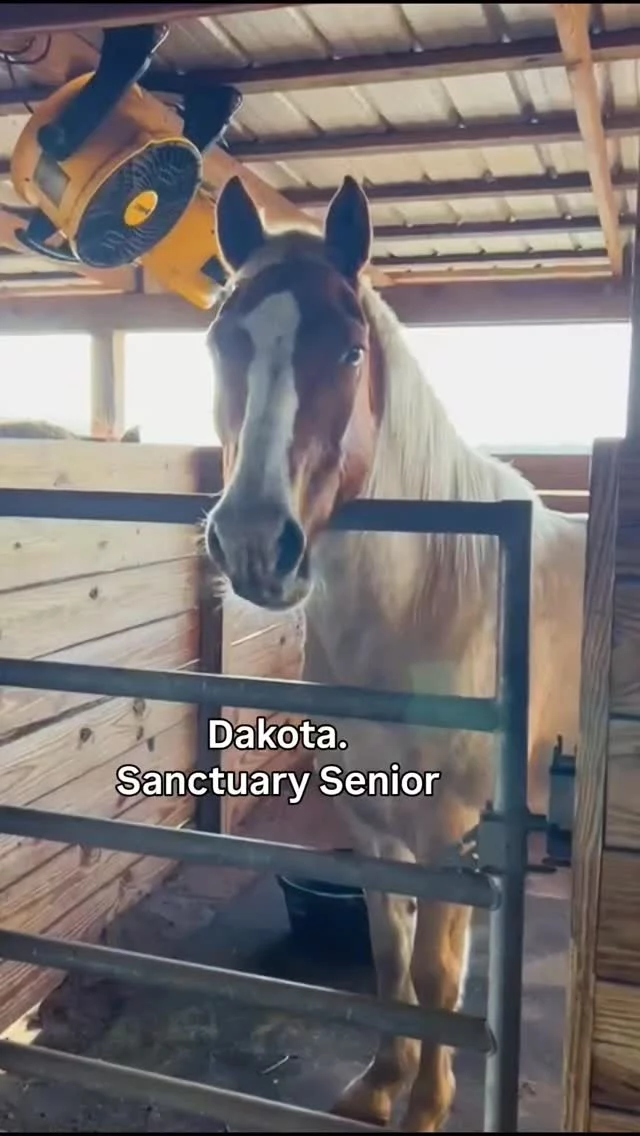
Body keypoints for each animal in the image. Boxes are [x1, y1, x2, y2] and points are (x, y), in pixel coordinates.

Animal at [202, 174, 588, 1132]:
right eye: (221, 340)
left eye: (348, 351)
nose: (256, 545)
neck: (418, 610)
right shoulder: (376, 826)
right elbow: (388, 956)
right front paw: (379, 1084)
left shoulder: (452, 837)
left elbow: (437, 977)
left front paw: (425, 1107)